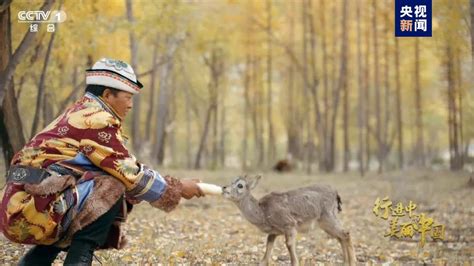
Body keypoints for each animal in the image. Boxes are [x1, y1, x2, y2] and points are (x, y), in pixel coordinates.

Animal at [222, 176, 356, 264]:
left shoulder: (289, 223)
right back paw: (345, 262)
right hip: (325, 222)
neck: (263, 213)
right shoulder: (274, 232)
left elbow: (289, 245)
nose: (223, 187)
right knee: (340, 237)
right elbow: (267, 249)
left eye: (240, 185)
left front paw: (295, 262)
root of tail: (336, 193)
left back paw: (352, 262)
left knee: (346, 233)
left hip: (328, 216)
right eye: (231, 181)